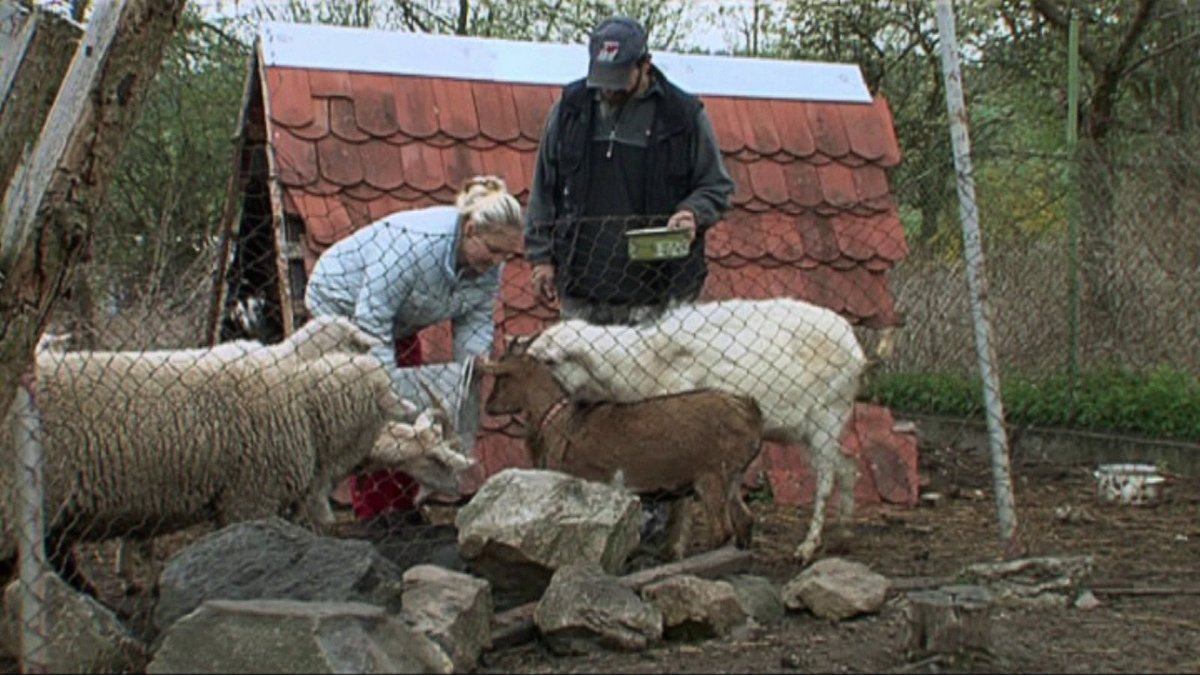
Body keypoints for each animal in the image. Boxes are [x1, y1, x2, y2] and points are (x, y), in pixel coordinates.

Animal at [475, 343, 758, 554]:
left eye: (501, 377)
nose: (489, 407)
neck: (560, 418)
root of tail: (747, 411)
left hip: (711, 475)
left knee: (723, 529)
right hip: (732, 477)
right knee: (744, 518)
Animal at [530, 296, 868, 559]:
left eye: (551, 360)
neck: (642, 364)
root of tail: (853, 341)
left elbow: (680, 501)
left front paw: (674, 549)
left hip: (827, 415)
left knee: (826, 479)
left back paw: (808, 546)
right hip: (809, 428)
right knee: (847, 465)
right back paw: (845, 534)